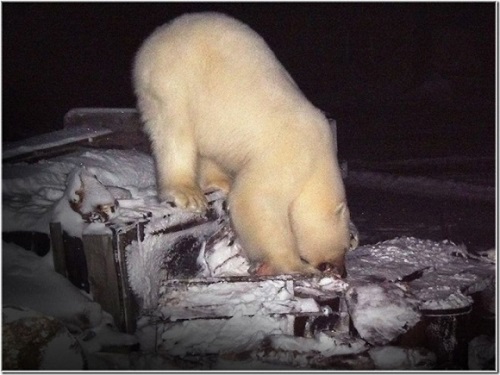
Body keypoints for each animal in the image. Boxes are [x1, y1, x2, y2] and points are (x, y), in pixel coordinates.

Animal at [133, 12, 352, 276]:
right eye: (345, 246)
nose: (343, 271)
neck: (320, 160)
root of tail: (159, 33)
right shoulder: (292, 153)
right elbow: (256, 197)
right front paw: (295, 265)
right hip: (172, 77)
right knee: (174, 131)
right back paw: (188, 192)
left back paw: (221, 181)